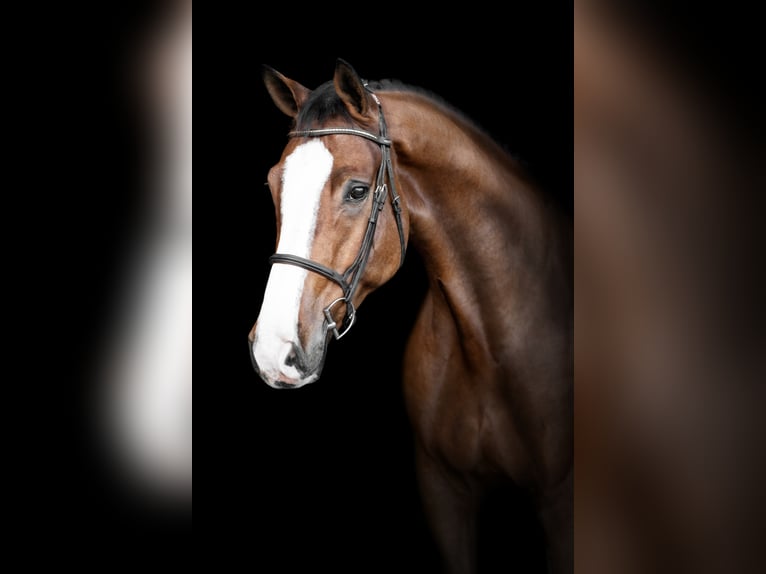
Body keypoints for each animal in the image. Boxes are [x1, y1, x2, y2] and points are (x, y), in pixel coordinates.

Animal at [249, 59, 573, 574]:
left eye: (358, 191)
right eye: (273, 184)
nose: (272, 350)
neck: (489, 341)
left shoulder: (560, 504)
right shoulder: (443, 492)